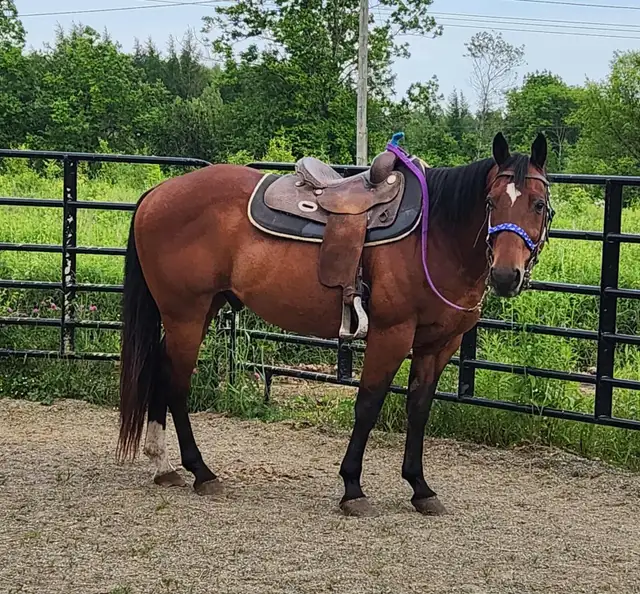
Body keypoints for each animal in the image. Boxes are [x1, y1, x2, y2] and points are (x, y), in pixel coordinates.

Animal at [116, 131, 553, 517]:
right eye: (491, 200)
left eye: (538, 204)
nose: (505, 276)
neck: (434, 238)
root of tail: (157, 194)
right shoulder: (391, 335)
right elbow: (368, 405)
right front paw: (352, 489)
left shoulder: (438, 345)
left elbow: (419, 409)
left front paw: (420, 488)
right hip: (186, 314)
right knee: (176, 382)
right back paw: (200, 472)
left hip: (199, 310)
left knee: (161, 370)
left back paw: (164, 466)